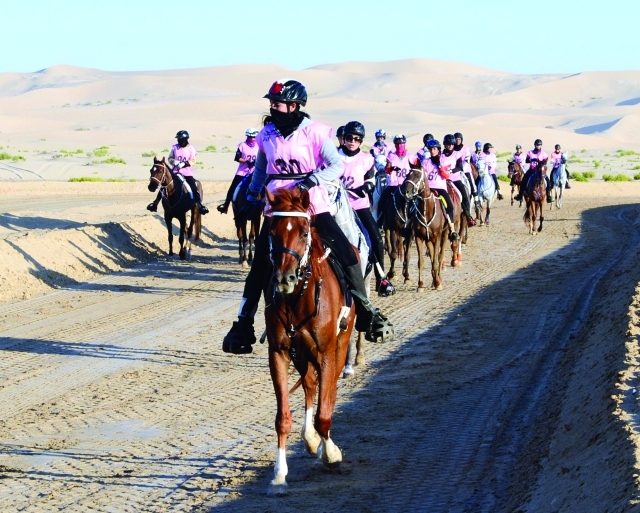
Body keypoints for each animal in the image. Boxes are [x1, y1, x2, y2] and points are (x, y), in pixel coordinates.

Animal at [264, 188, 356, 496]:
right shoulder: (279, 353)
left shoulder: (326, 350)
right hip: (302, 354)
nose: (284, 278)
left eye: (304, 232)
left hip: (339, 344)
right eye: (272, 231)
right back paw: (310, 438)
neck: (298, 298)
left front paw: (331, 454)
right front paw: (279, 474)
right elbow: (282, 417)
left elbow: (324, 413)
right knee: (310, 385)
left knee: (329, 390)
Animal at [402, 158, 448, 290]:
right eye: (407, 175)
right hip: (428, 239)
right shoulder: (419, 237)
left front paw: (438, 283)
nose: (406, 191)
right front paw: (420, 284)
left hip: (444, 234)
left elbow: (436, 260)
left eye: (417, 176)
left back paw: (438, 279)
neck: (426, 210)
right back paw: (434, 279)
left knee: (439, 256)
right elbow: (421, 261)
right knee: (432, 256)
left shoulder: (437, 237)